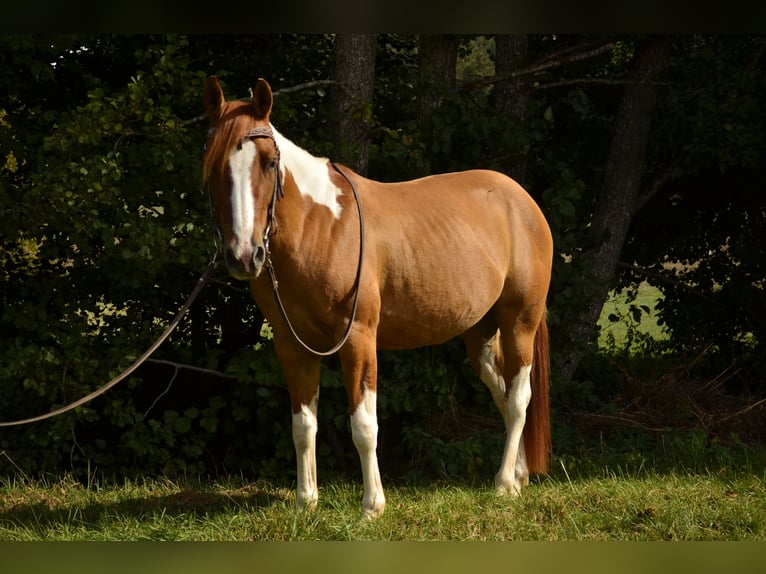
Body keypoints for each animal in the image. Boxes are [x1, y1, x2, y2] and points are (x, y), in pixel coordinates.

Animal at [201, 76, 553, 519]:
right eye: (213, 164)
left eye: (268, 162)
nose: (245, 255)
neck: (321, 227)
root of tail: (522, 201)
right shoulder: (291, 346)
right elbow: (303, 426)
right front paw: (305, 502)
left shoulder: (358, 339)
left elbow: (364, 425)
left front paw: (373, 505)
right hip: (481, 336)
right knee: (504, 396)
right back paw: (519, 474)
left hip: (520, 322)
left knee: (520, 398)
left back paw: (505, 483)